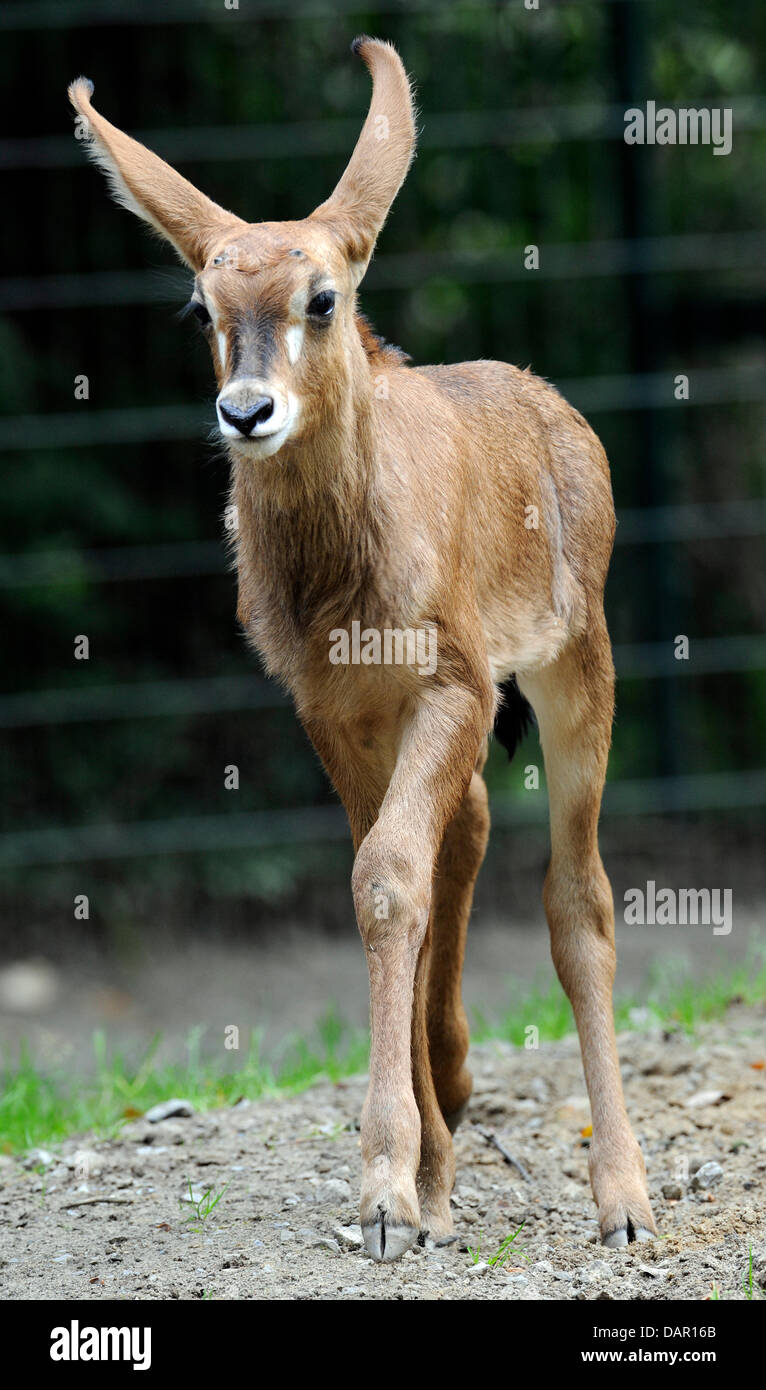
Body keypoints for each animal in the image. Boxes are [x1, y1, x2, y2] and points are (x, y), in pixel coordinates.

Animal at [71, 38, 656, 1267]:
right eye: (201, 303)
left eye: (321, 298)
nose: (247, 412)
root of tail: (551, 409)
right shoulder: (334, 711)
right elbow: (390, 878)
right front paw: (420, 1177)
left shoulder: (451, 683)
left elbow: (388, 878)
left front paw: (387, 1188)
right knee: (467, 828)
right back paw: (458, 1094)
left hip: (577, 672)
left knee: (578, 898)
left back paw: (622, 1194)